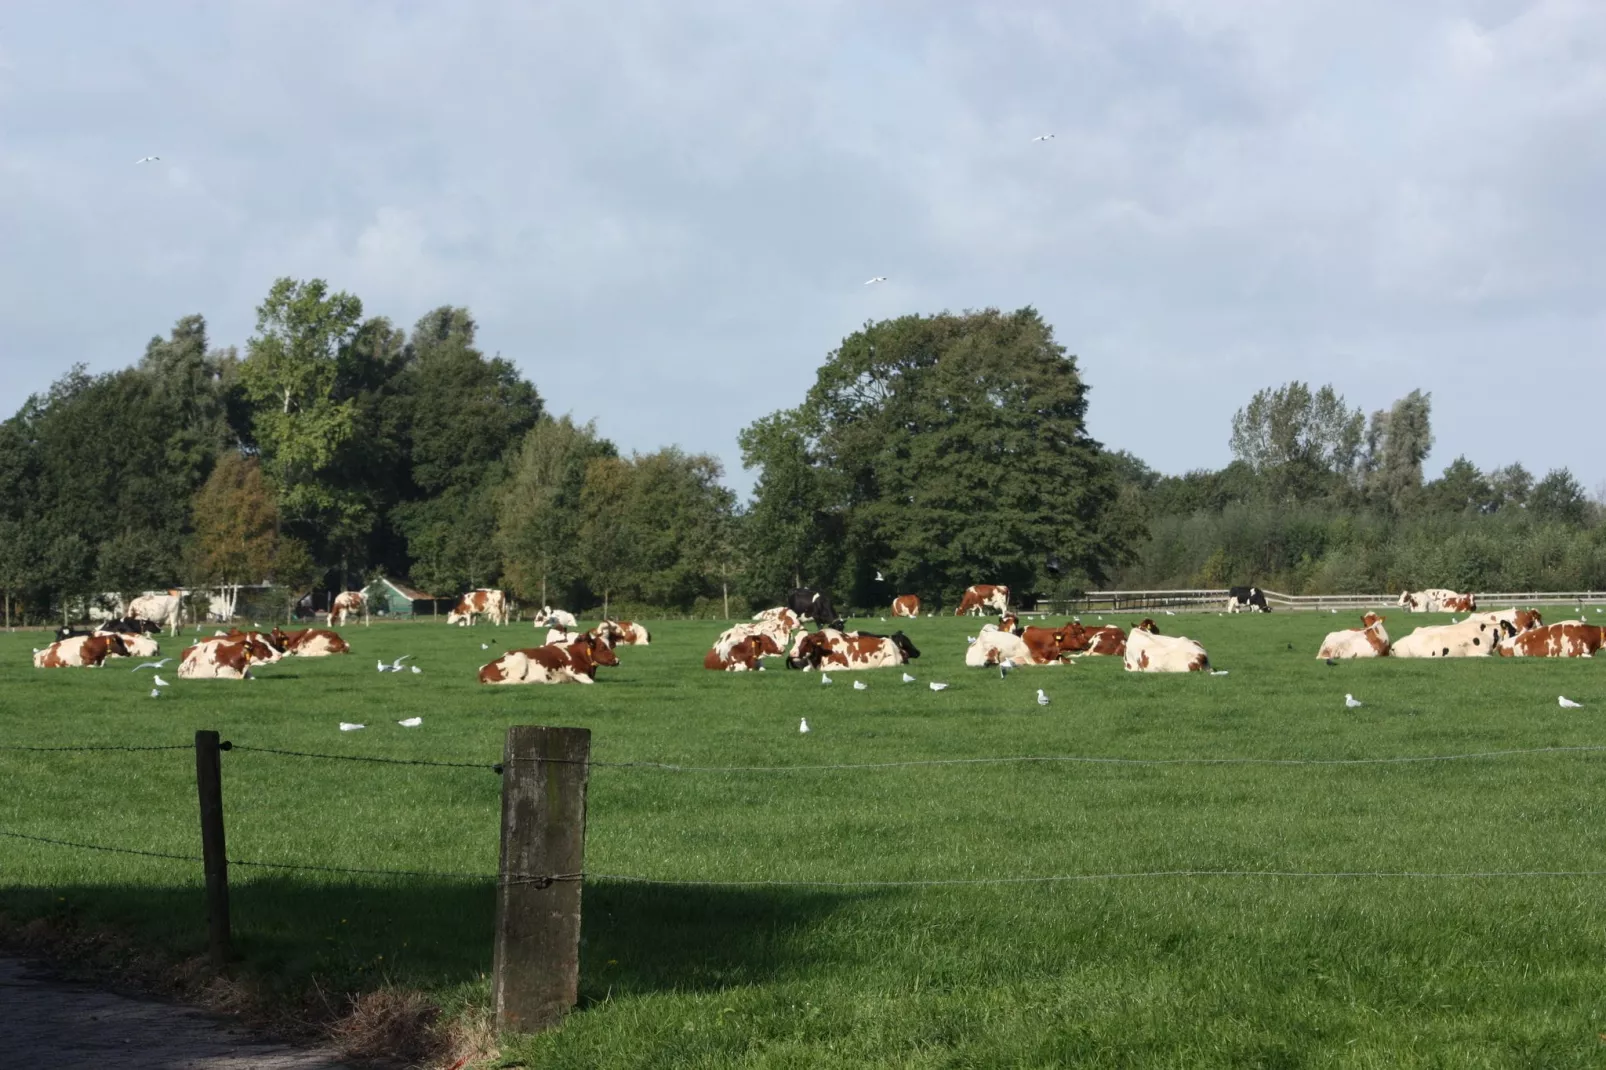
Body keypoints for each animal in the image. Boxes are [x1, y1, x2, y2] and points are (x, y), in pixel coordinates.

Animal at [475, 633, 619, 684]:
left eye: (612, 646)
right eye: (602, 648)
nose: (617, 660)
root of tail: (483, 669)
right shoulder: (575, 671)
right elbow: (591, 682)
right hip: (520, 660)